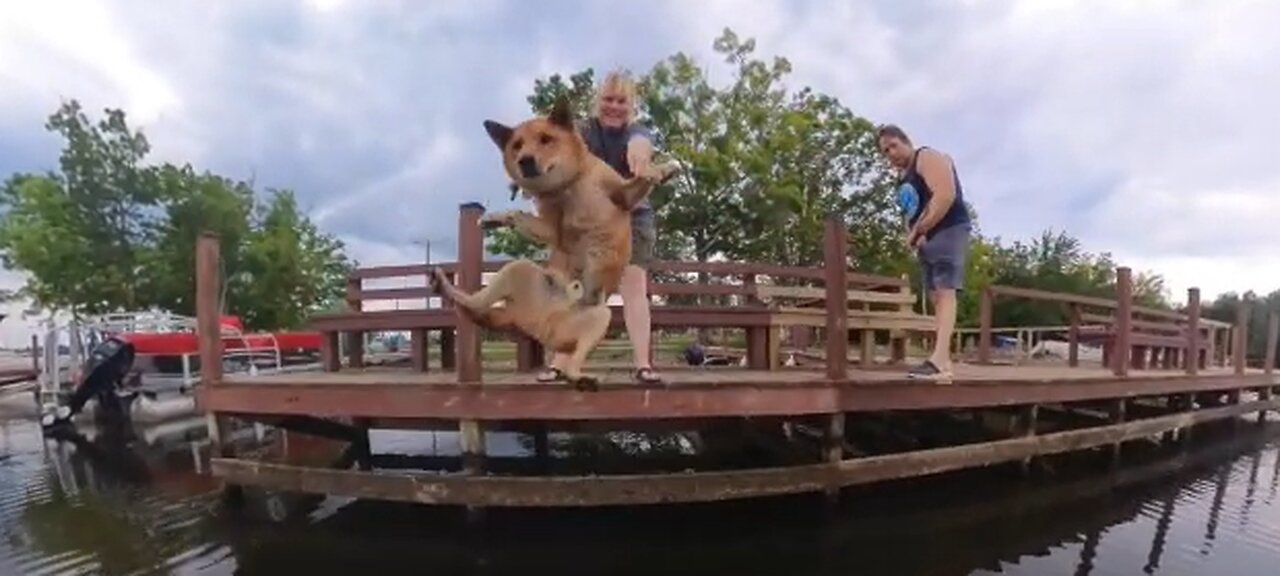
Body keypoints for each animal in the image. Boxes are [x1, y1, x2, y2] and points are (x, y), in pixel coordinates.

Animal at [430, 259, 609, 391]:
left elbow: (482, 312)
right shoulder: (518, 269)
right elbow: (478, 303)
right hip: (560, 331)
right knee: (601, 315)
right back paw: (573, 373)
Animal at [481, 96, 680, 308]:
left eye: (546, 139)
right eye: (517, 145)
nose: (524, 161)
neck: (567, 186)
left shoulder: (623, 196)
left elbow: (643, 176)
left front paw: (664, 169)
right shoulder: (550, 228)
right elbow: (516, 214)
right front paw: (492, 218)